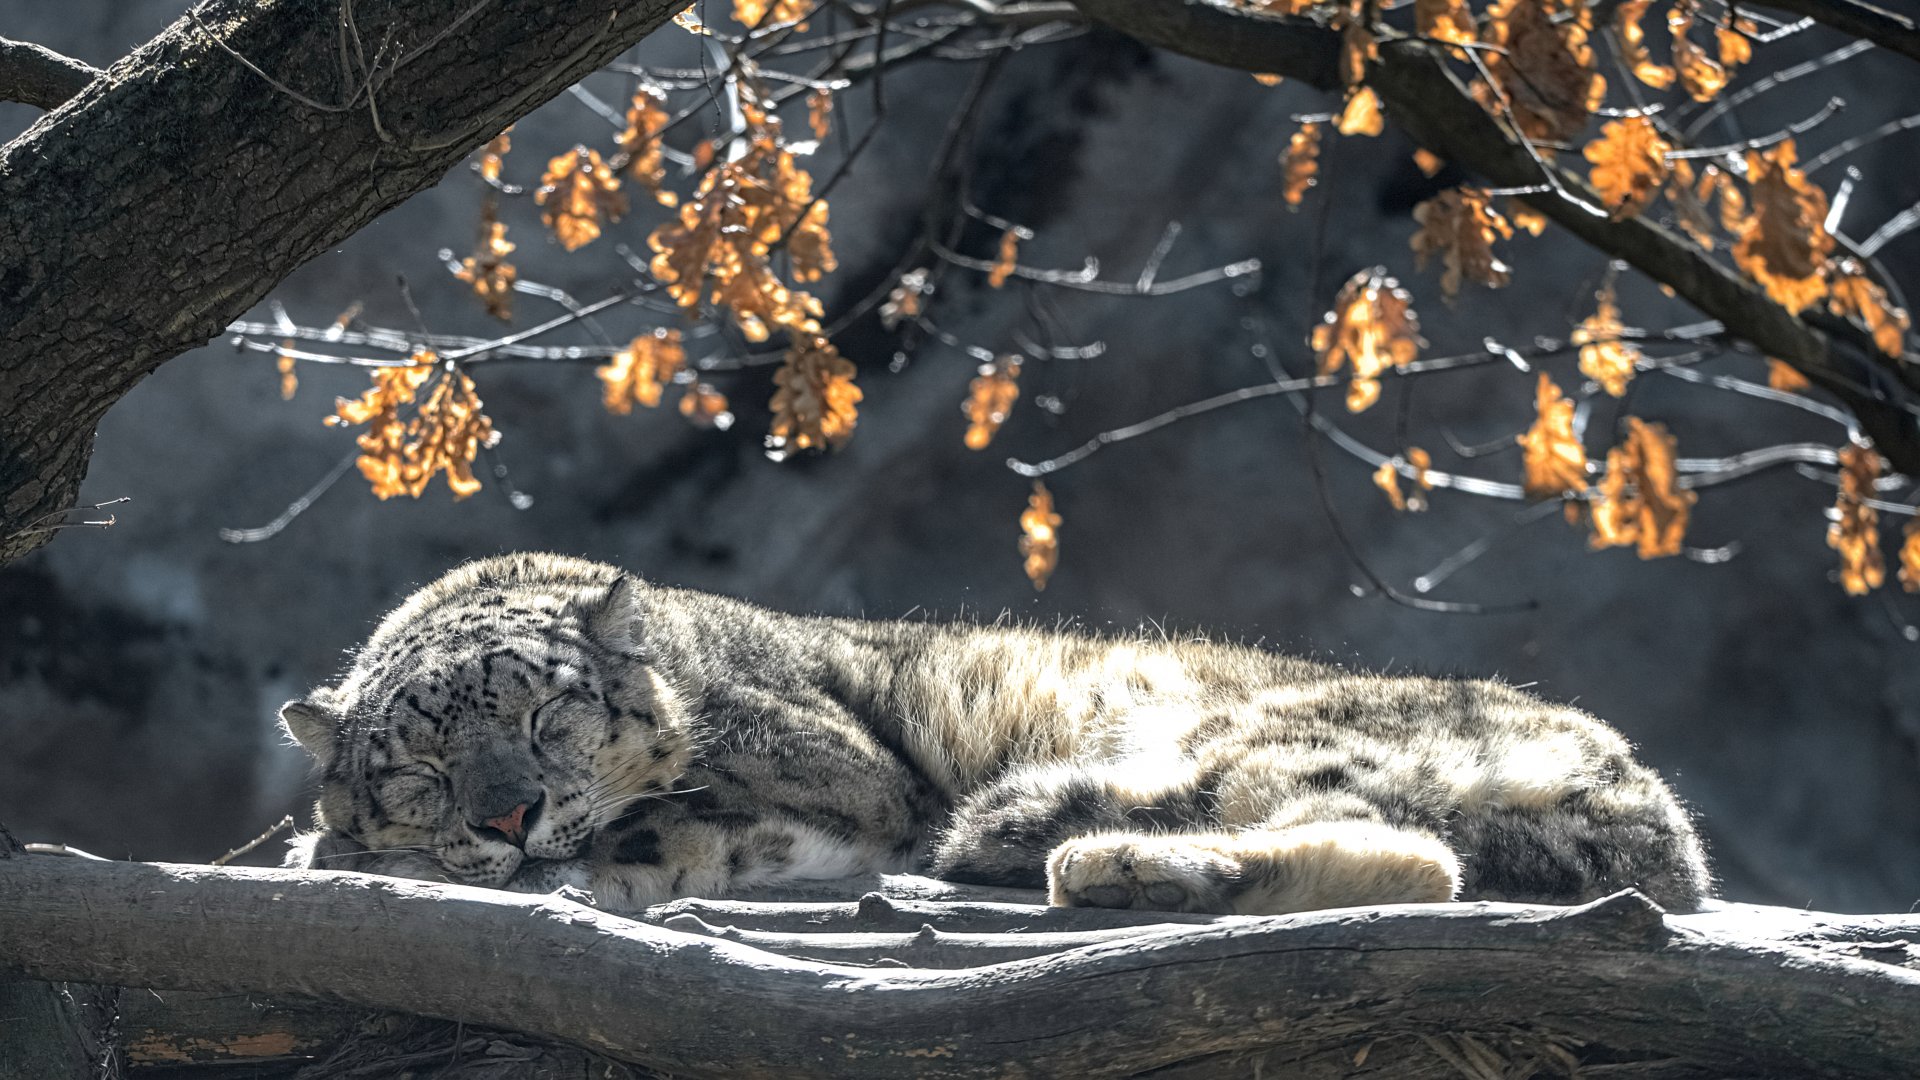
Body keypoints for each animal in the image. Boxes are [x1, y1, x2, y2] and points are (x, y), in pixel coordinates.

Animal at [281, 552, 1712, 916]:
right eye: (418, 769)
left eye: (546, 712)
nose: (505, 814)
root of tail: (1651, 803)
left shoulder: (842, 786)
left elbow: (657, 819)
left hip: (1260, 735)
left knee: (1409, 849)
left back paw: (1091, 857)